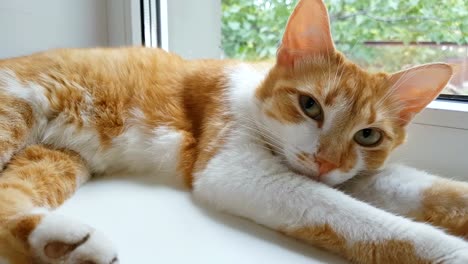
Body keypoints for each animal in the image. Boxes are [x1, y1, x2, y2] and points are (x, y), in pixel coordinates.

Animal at [0, 0, 468, 262]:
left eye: (368, 136)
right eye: (310, 105)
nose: (325, 161)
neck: (251, 98)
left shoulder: (359, 175)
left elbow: (434, 192)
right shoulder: (236, 171)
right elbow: (365, 221)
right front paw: (453, 252)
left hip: (58, 160)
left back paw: (62, 243)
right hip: (13, 114)